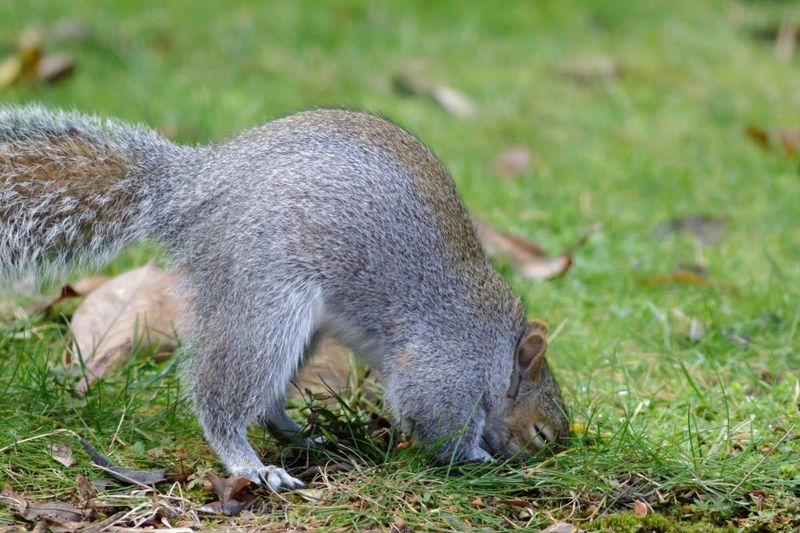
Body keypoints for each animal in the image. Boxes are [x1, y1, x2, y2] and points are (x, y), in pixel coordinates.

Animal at [0, 105, 569, 491]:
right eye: (541, 433)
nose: (541, 461)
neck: (497, 351)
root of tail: (188, 189)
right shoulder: (449, 368)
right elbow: (438, 420)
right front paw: (477, 460)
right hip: (266, 299)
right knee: (224, 401)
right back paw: (251, 464)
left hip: (301, 327)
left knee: (269, 400)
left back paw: (304, 437)